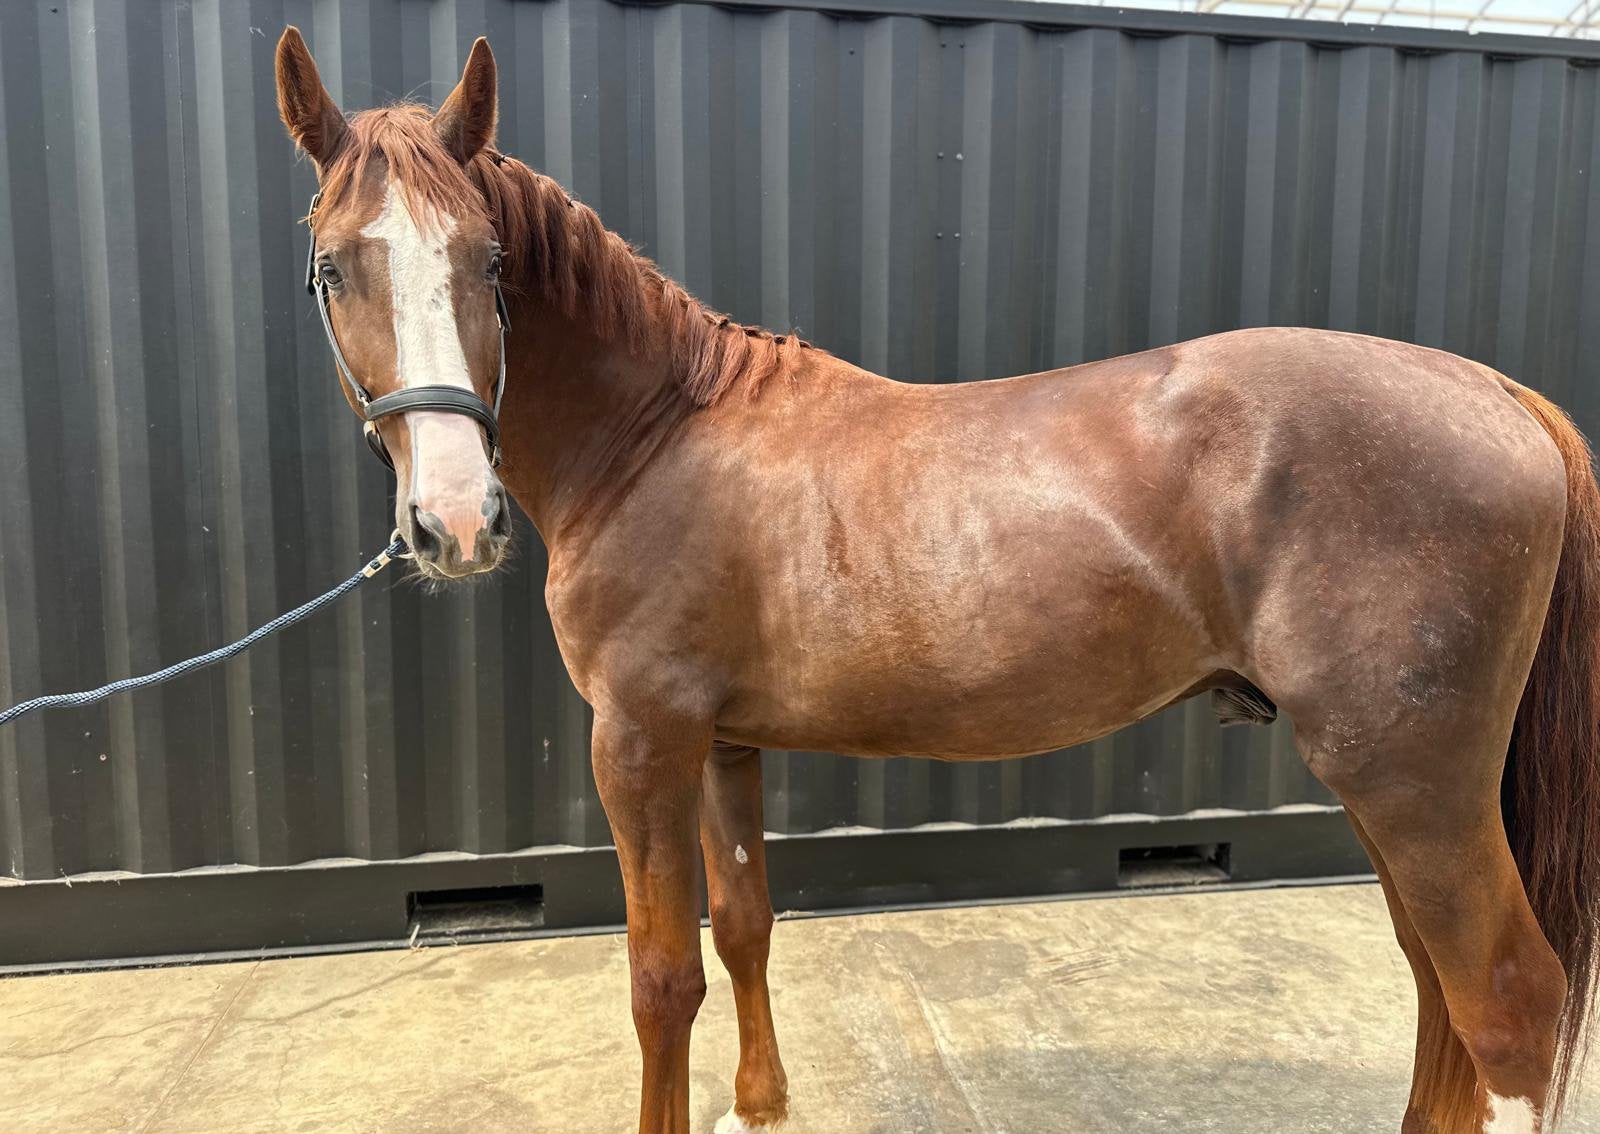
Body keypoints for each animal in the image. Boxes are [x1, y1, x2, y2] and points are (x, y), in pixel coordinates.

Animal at [274, 27, 1599, 1134]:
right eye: (332, 270)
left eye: (487, 259)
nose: (455, 521)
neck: (658, 431)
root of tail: (1498, 394)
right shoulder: (723, 745)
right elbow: (746, 927)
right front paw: (763, 1108)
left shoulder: (639, 742)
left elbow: (662, 980)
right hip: (1393, 788)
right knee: (1435, 991)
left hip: (1412, 782)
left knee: (1503, 1005)